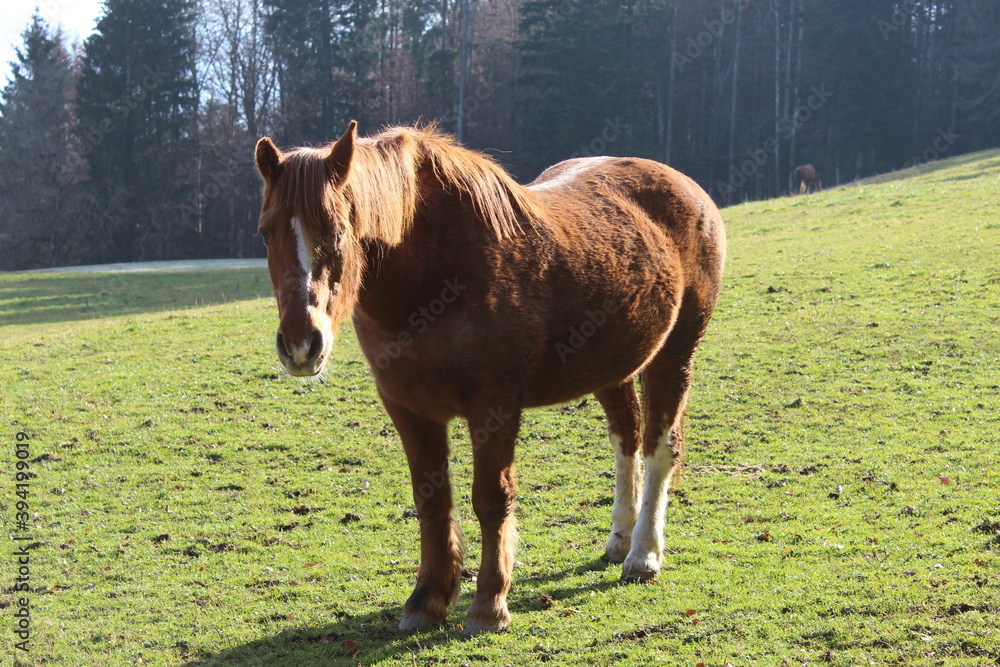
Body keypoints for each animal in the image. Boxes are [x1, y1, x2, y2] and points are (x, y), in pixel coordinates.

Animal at [253, 121, 726, 635]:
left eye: (339, 231)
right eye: (265, 234)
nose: (301, 344)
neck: (432, 275)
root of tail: (687, 186)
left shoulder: (494, 405)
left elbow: (491, 498)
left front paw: (488, 604)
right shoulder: (408, 408)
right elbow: (432, 501)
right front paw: (426, 601)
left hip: (674, 354)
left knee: (660, 447)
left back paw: (643, 556)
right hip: (612, 366)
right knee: (627, 438)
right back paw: (619, 539)